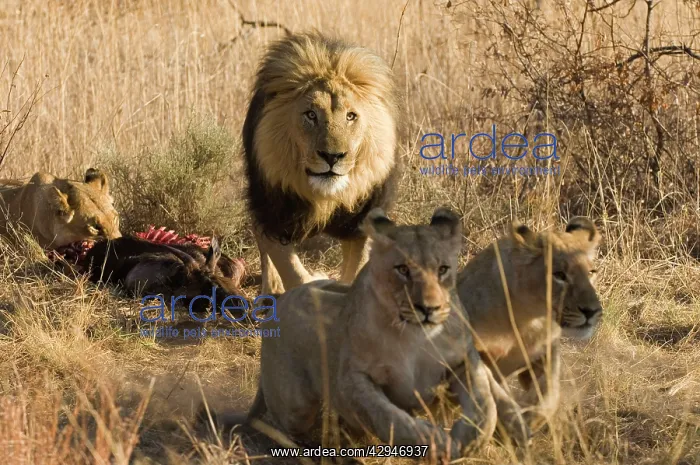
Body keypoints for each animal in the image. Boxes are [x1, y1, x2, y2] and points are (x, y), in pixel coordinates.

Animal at [201, 208, 529, 460]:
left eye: (443, 270)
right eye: (402, 270)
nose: (429, 308)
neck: (416, 336)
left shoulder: (464, 361)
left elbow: (485, 407)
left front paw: (469, 440)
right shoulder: (351, 380)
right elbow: (388, 416)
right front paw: (431, 441)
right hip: (295, 404)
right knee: (284, 422)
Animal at [242, 31, 400, 295]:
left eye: (351, 116)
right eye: (311, 115)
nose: (332, 156)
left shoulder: (362, 217)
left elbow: (357, 268)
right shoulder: (271, 210)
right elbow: (292, 271)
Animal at [457, 217, 603, 431]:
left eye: (591, 272)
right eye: (559, 275)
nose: (591, 311)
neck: (530, 319)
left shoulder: (546, 349)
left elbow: (551, 388)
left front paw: (533, 415)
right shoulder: (467, 351)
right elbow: (493, 389)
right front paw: (515, 422)